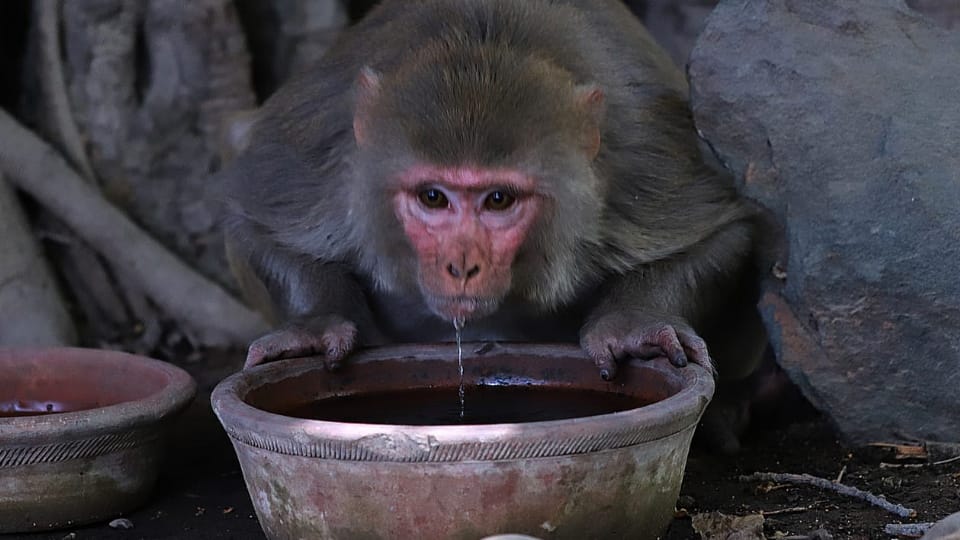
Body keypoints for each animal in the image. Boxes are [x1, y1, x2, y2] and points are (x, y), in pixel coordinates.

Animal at [214, 0, 773, 453]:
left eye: (499, 199)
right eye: (433, 197)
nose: (461, 264)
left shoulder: (639, 157)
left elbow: (727, 233)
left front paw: (631, 324)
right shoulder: (327, 158)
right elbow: (250, 222)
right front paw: (315, 325)